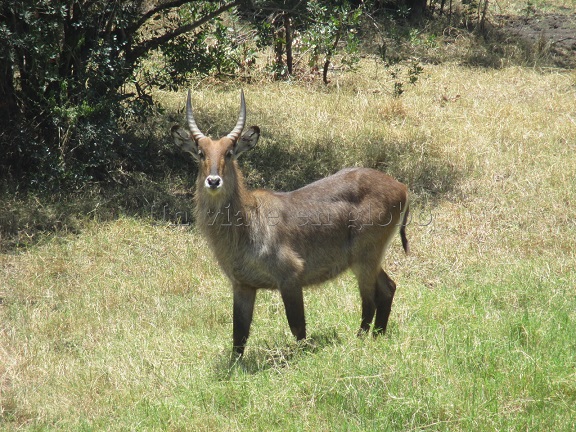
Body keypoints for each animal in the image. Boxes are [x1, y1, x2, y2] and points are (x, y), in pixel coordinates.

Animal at [171, 89, 410, 356]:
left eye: (229, 153)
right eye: (201, 153)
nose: (213, 180)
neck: (248, 222)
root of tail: (401, 187)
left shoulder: (291, 276)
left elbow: (298, 327)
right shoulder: (242, 285)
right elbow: (238, 335)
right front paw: (235, 365)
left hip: (364, 259)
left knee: (369, 302)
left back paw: (359, 342)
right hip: (368, 259)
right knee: (388, 288)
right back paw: (378, 337)